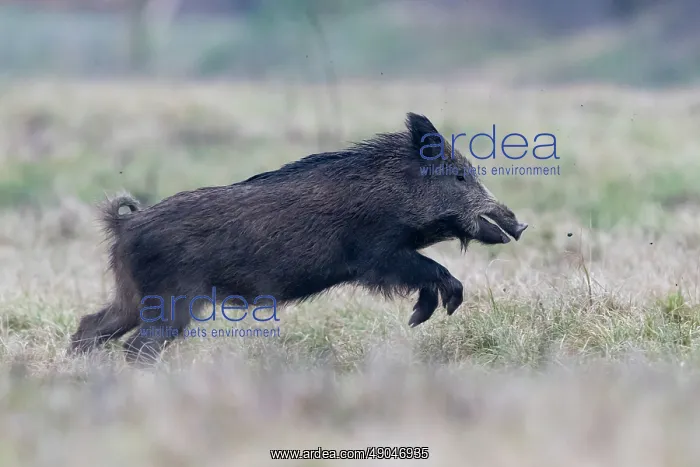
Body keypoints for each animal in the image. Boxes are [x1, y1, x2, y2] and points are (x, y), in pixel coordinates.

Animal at [69, 112, 527, 363]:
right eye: (461, 176)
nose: (519, 224)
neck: (392, 192)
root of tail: (125, 225)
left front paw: (417, 318)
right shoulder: (377, 256)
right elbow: (434, 270)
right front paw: (433, 313)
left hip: (133, 296)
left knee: (92, 325)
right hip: (170, 300)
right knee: (136, 348)